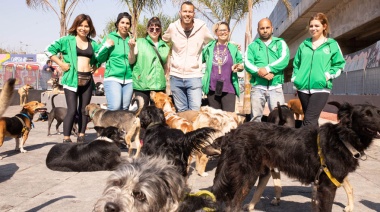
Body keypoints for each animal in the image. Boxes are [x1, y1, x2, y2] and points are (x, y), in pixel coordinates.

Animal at [211, 102, 380, 211]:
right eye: (366, 115)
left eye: (378, 112)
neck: (343, 138)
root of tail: (233, 133)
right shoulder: (327, 187)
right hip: (247, 176)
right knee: (233, 205)